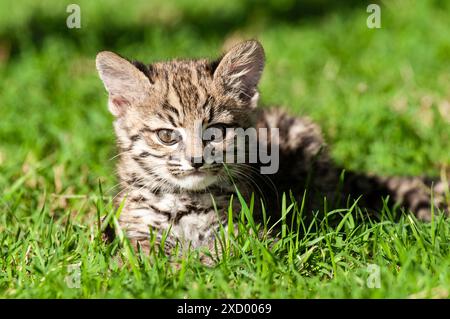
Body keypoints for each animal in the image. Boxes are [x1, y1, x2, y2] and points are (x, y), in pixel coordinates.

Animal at [96, 40, 450, 264]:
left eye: (215, 132)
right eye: (167, 136)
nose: (195, 161)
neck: (187, 199)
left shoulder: (251, 230)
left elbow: (227, 249)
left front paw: (197, 260)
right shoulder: (135, 228)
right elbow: (143, 253)